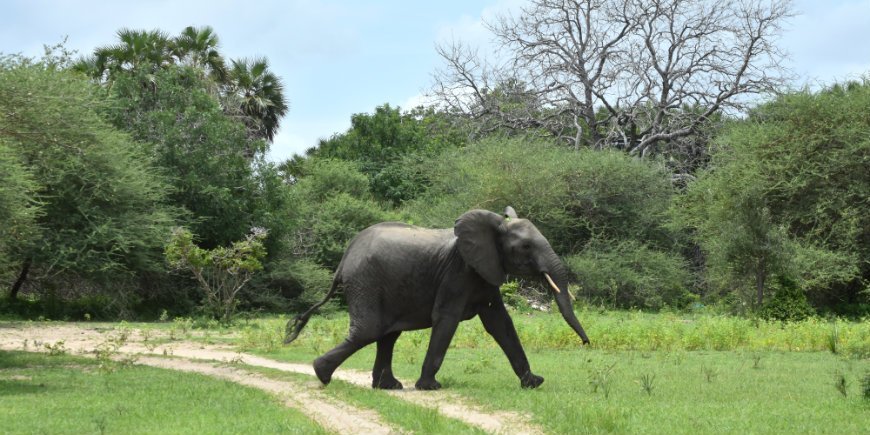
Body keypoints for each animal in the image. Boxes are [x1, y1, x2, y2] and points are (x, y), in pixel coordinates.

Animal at [284, 206, 589, 390]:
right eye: (525, 246)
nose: (587, 344)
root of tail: (343, 260)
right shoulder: (459, 272)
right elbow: (446, 318)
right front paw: (430, 387)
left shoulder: (485, 270)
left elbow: (500, 323)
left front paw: (534, 382)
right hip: (365, 283)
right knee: (369, 331)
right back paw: (322, 374)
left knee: (386, 335)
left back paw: (387, 386)